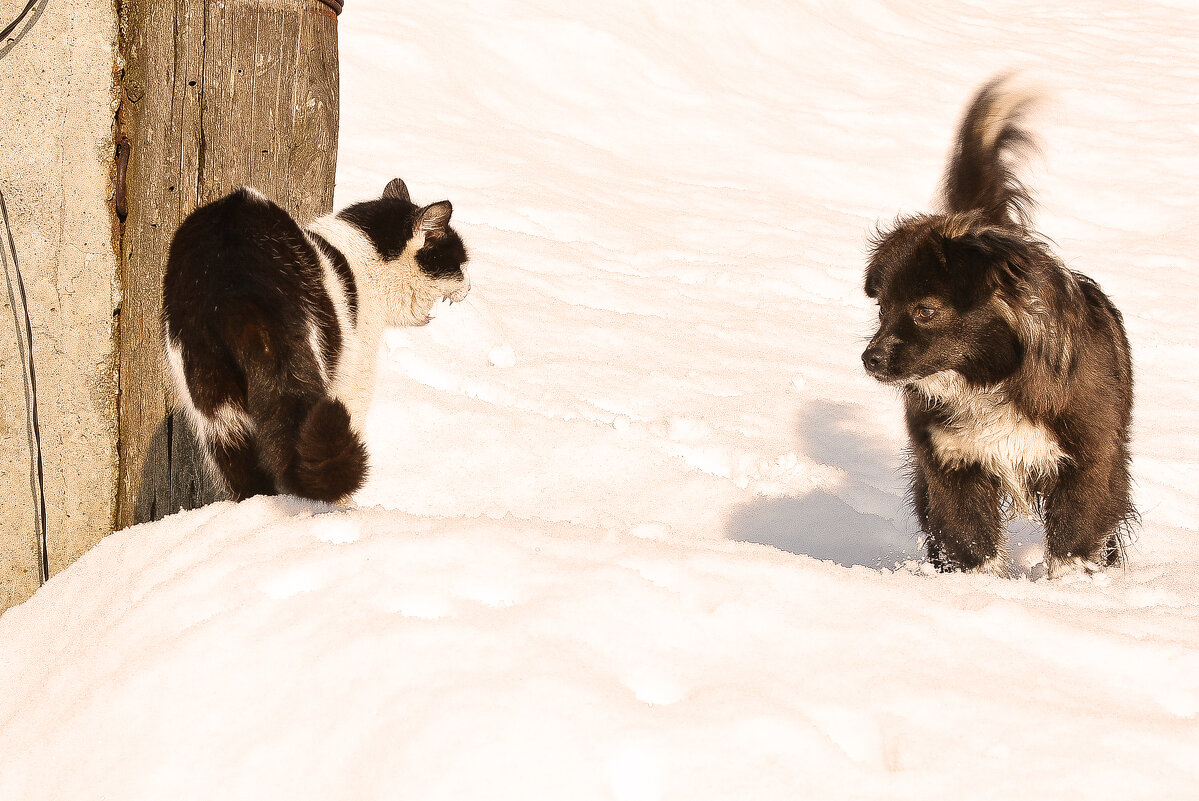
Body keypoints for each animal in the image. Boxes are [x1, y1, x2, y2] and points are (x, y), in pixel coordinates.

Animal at [163, 179, 467, 501]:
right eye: (460, 263)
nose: (470, 287)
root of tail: (232, 279)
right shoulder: (353, 378)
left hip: (213, 399)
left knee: (242, 470)